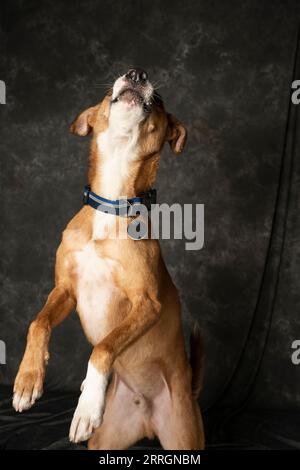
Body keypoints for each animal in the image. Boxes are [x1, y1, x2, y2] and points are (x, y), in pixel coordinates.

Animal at [12, 68, 205, 450]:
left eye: (159, 101)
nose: (136, 73)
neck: (110, 206)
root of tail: (149, 422)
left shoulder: (147, 304)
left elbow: (102, 347)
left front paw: (87, 408)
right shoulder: (65, 290)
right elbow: (37, 323)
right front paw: (28, 380)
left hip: (185, 439)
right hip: (106, 441)